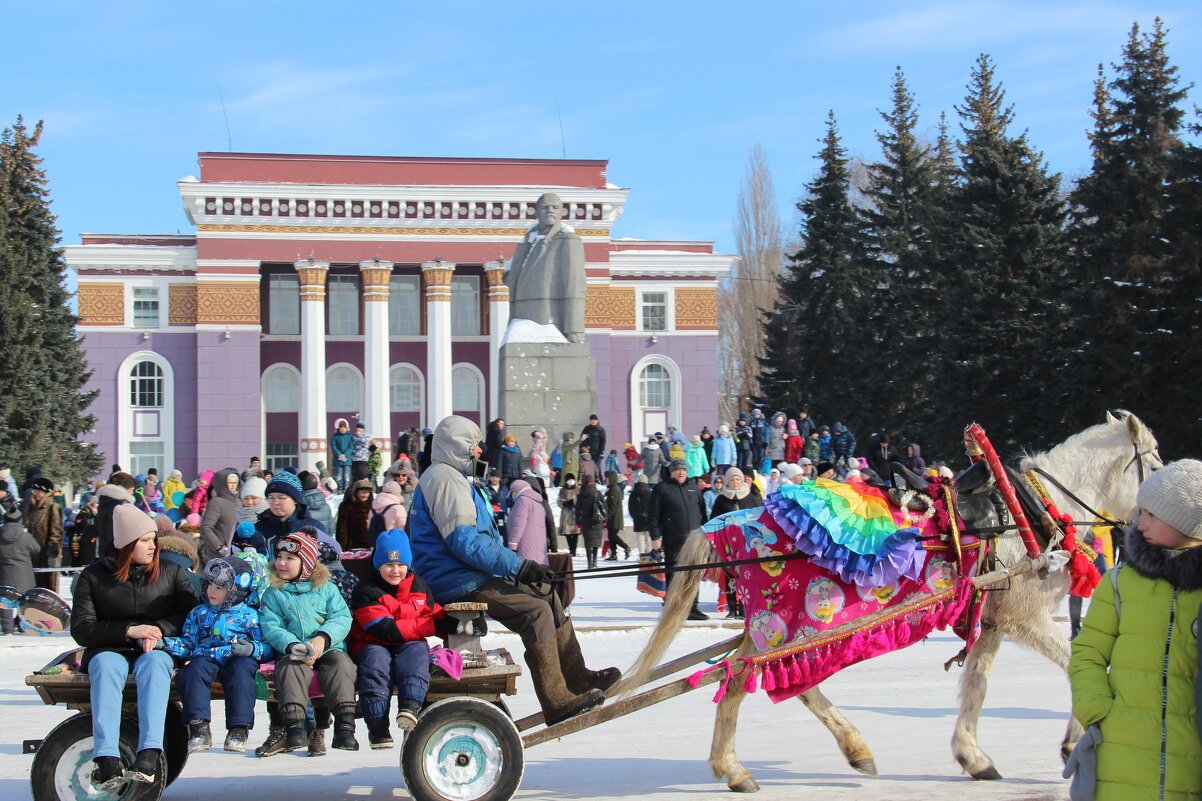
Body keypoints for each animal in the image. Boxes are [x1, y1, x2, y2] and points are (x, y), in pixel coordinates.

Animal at [615, 408, 1158, 788]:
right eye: (1153, 462)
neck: (1027, 511)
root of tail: (729, 519)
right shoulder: (1026, 617)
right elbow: (1078, 668)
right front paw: (1073, 743)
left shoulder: (993, 619)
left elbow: (976, 687)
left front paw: (972, 755)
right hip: (793, 623)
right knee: (754, 679)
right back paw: (759, 764)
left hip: (776, 626)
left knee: (760, 678)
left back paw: (803, 756)